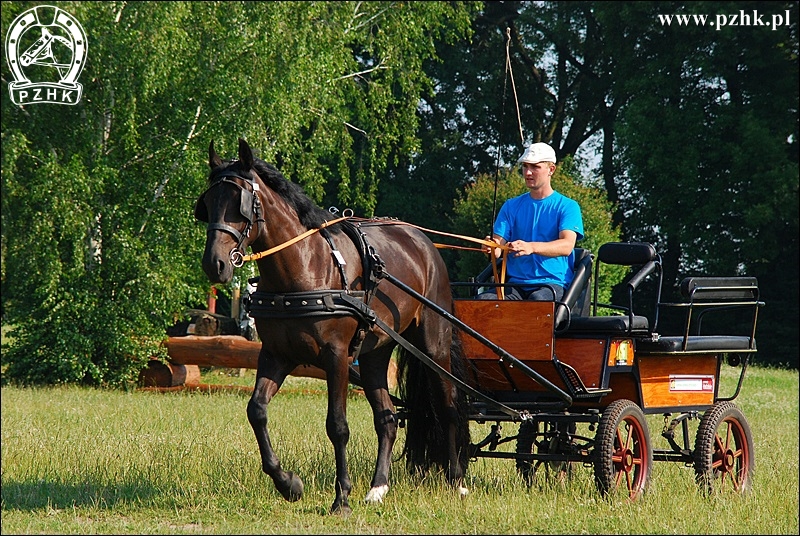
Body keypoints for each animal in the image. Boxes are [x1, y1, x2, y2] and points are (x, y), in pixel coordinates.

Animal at [194, 138, 468, 516]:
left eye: (240, 203)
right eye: (207, 203)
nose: (215, 264)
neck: (303, 268)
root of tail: (422, 241)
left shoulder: (335, 356)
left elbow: (337, 426)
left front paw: (341, 498)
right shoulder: (276, 355)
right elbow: (256, 411)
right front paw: (289, 483)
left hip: (433, 345)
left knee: (448, 405)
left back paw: (457, 480)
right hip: (374, 353)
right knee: (387, 418)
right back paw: (378, 487)